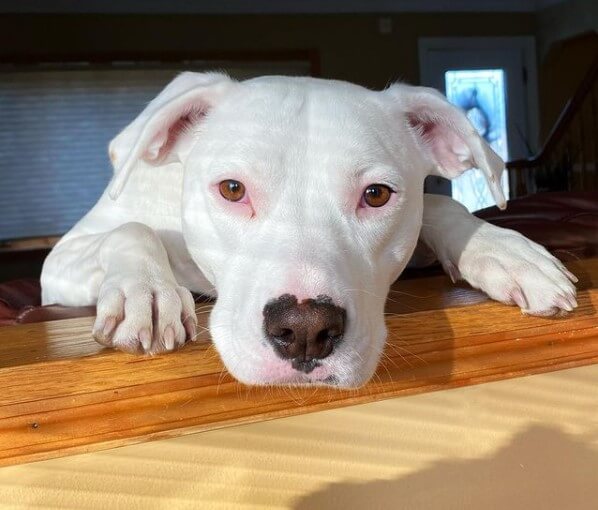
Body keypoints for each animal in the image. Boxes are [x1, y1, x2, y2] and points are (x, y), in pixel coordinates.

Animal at [41, 72, 578, 387]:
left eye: (377, 195)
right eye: (232, 189)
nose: (304, 330)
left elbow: (437, 204)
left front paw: (503, 250)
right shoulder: (60, 263)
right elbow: (129, 230)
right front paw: (147, 292)